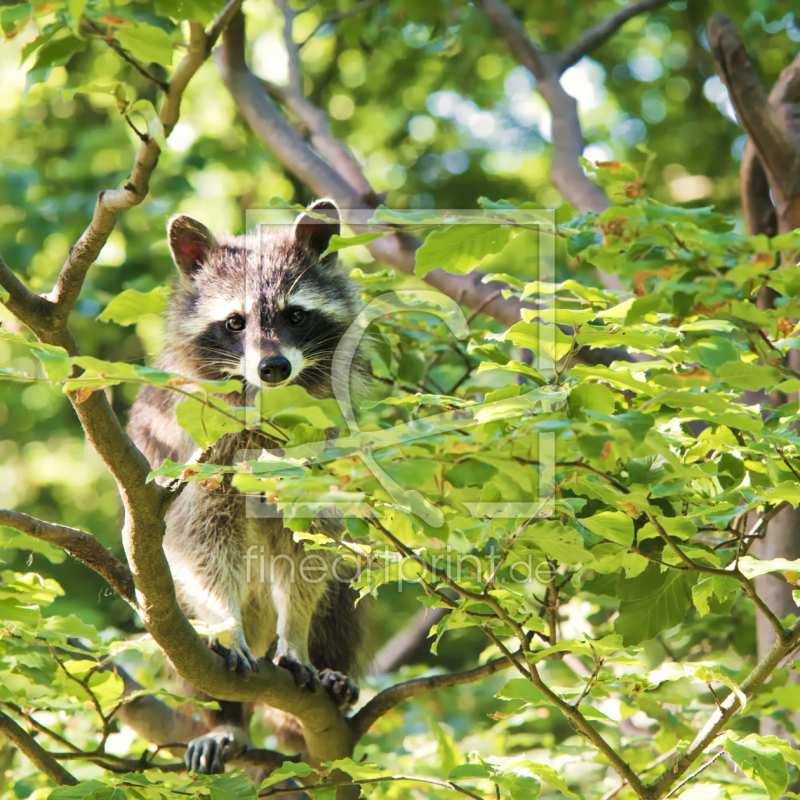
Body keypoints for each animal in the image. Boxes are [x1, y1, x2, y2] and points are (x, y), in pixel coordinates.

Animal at [128, 200, 368, 776]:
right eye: (234, 323)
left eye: (295, 315)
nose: (273, 366)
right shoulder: (196, 448)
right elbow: (199, 536)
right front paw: (226, 619)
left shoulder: (323, 437)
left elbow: (313, 543)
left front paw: (297, 635)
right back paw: (226, 719)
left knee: (343, 586)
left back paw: (330, 667)